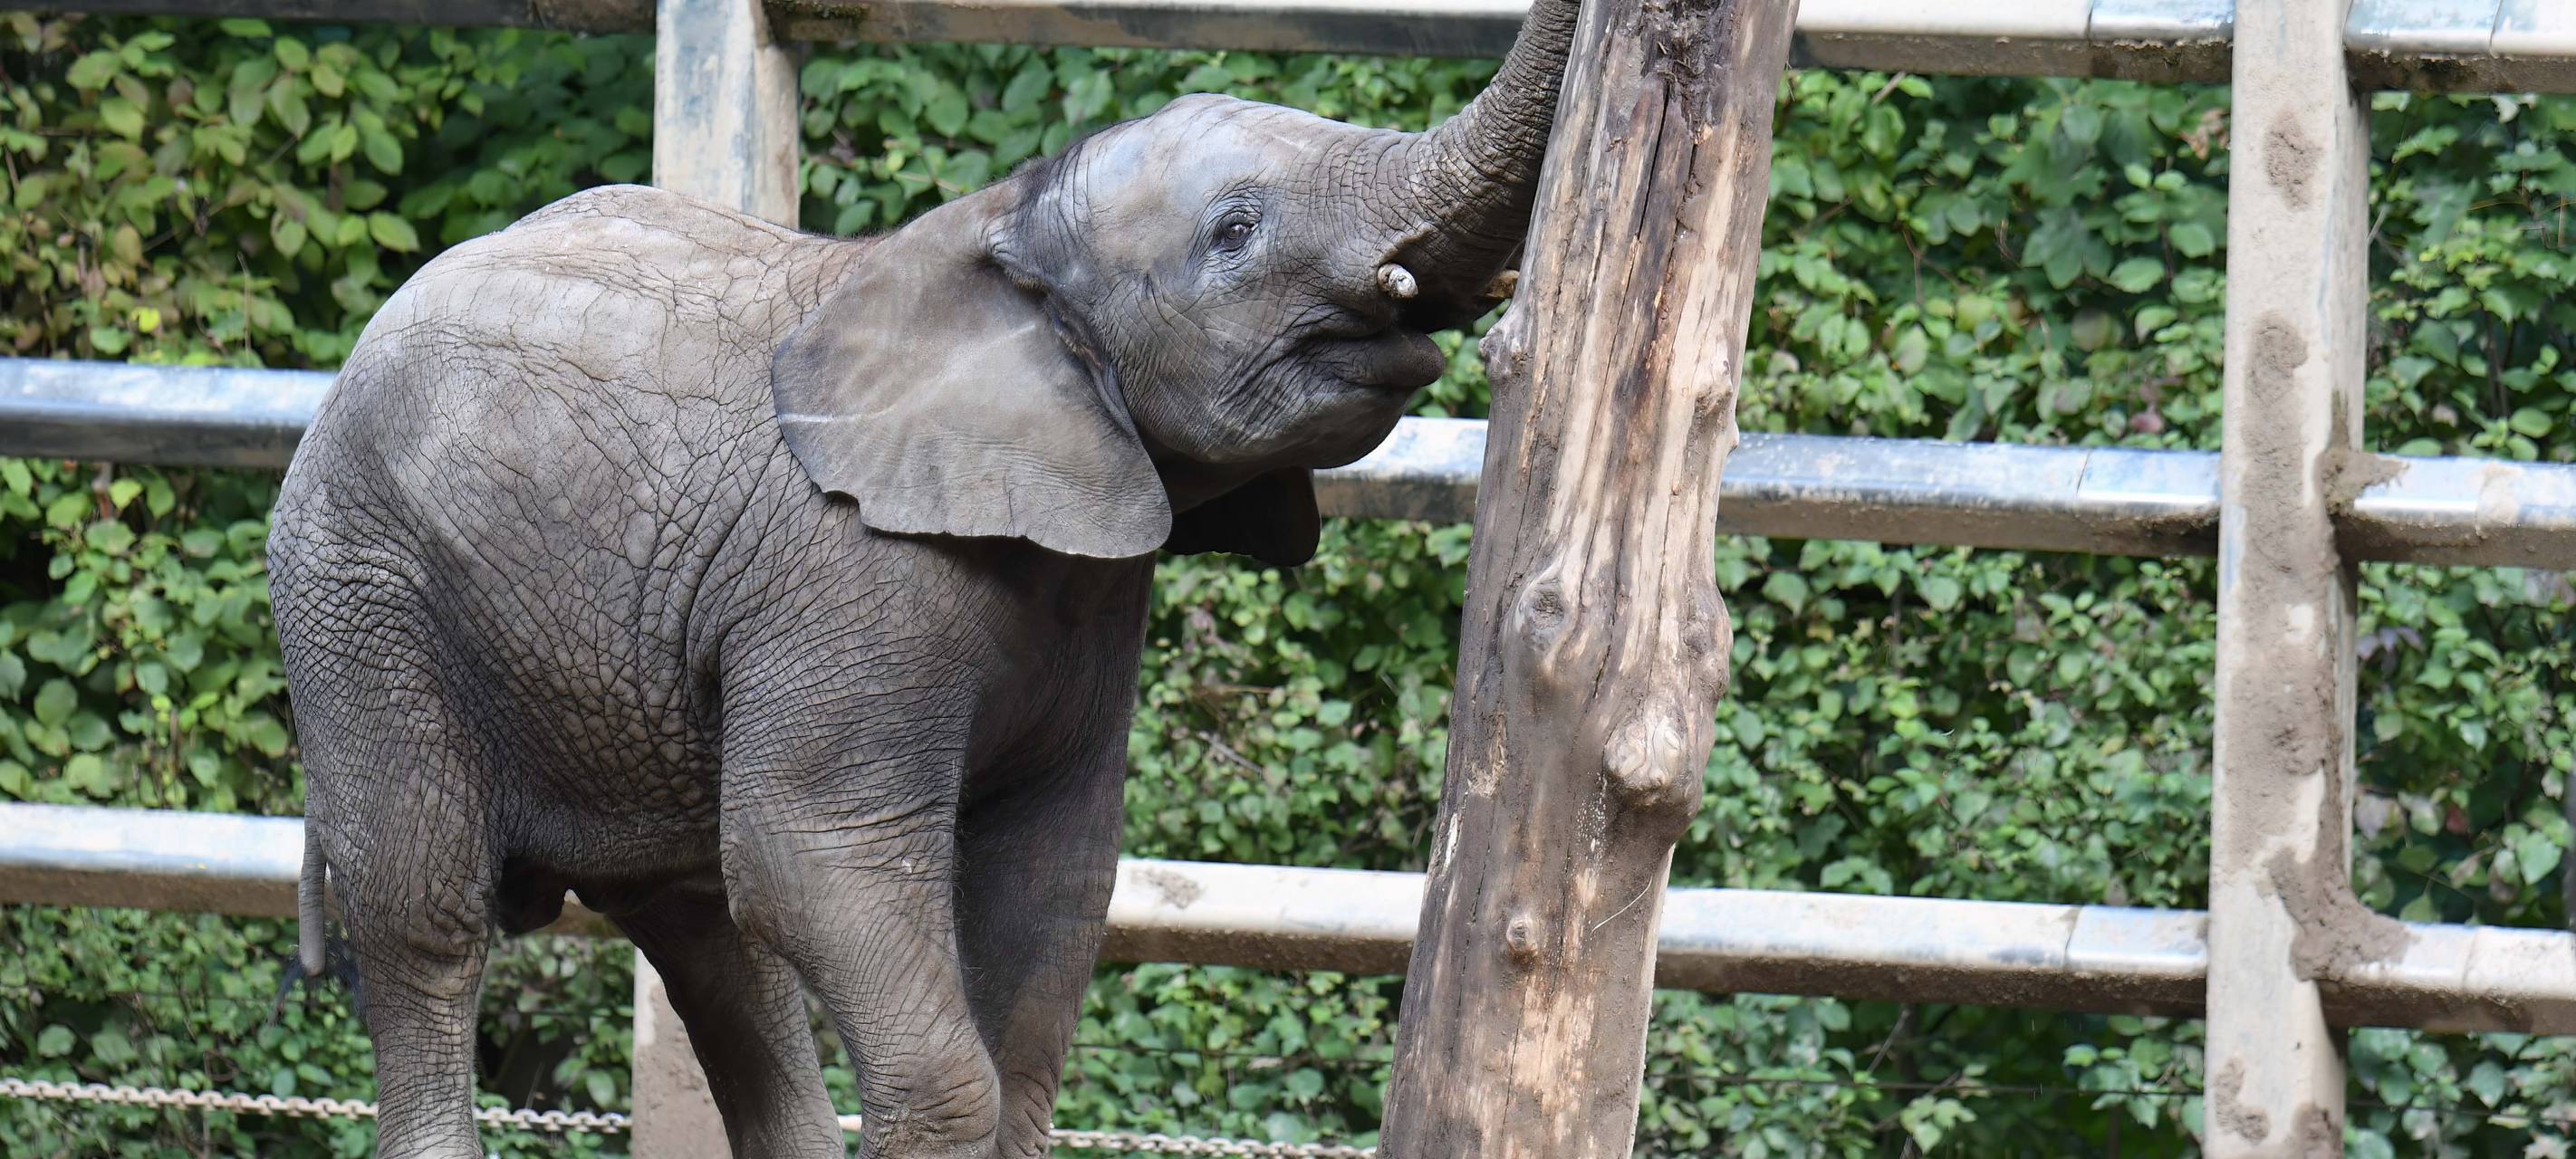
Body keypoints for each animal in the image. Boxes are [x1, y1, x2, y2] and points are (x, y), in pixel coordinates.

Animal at [266, 2, 1575, 1155]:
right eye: (1235, 231)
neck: (1005, 231)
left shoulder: (1088, 600)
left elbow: (1053, 891)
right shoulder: (845, 581)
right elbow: (811, 857)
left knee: (707, 939)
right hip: (358, 595)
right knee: (430, 917)